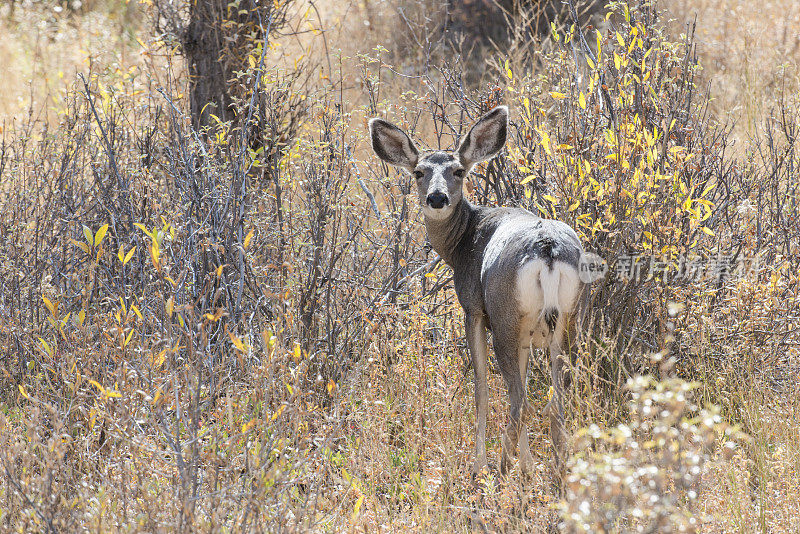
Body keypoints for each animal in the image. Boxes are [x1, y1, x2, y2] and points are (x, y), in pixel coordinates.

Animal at [370, 108, 588, 482]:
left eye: (458, 171)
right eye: (418, 172)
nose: (437, 198)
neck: (462, 243)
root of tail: (548, 249)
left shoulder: (473, 309)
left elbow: (481, 388)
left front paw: (480, 465)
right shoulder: (527, 334)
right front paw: (529, 465)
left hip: (504, 318)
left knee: (518, 398)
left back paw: (499, 469)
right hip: (566, 323)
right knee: (555, 396)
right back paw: (558, 470)